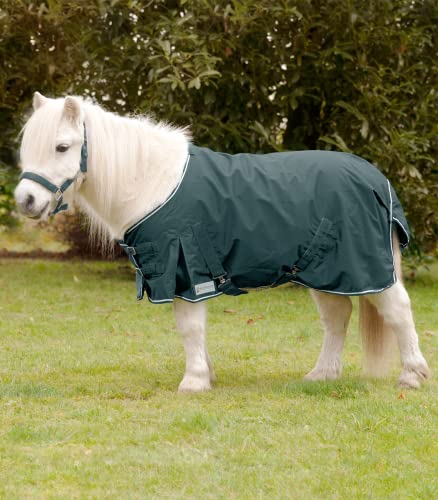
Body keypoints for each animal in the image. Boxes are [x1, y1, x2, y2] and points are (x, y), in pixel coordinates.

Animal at [15, 93, 430, 390]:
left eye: (62, 147)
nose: (25, 200)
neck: (152, 183)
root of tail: (376, 179)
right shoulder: (182, 275)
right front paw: (206, 373)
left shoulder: (185, 269)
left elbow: (189, 327)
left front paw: (194, 381)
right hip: (324, 270)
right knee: (336, 317)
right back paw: (322, 375)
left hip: (366, 267)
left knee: (397, 310)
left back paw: (412, 375)